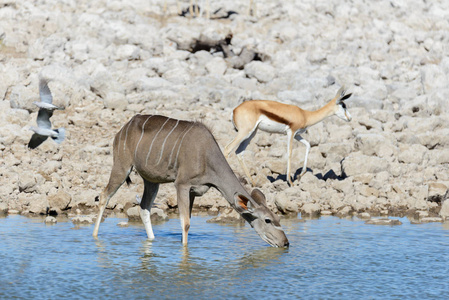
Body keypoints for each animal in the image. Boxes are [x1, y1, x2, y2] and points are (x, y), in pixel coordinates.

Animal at [93, 113, 288, 247]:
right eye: (267, 220)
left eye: (277, 218)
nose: (286, 243)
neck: (206, 156)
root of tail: (122, 130)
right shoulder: (182, 185)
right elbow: (184, 222)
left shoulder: (194, 190)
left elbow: (188, 221)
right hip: (122, 167)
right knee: (104, 196)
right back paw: (94, 236)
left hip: (152, 181)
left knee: (144, 207)